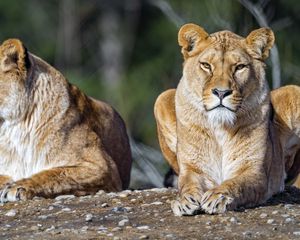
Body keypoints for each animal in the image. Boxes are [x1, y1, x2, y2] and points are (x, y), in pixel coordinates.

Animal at [155, 23, 300, 216]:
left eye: (239, 67)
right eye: (206, 65)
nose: (221, 92)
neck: (220, 127)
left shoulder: (254, 171)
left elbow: (236, 183)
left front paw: (219, 197)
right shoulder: (193, 168)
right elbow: (187, 184)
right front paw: (184, 201)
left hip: (294, 91)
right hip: (162, 98)